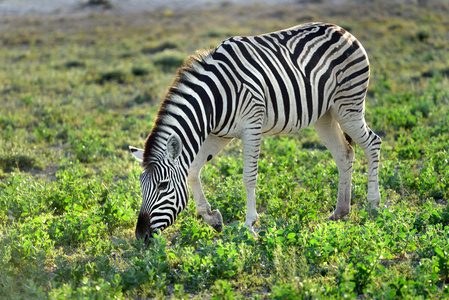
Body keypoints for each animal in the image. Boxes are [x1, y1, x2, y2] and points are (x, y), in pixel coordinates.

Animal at [130, 22, 382, 244]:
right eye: (141, 185)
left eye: (163, 186)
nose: (141, 236)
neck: (215, 99)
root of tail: (342, 30)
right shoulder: (218, 135)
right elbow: (192, 170)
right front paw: (212, 218)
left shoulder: (252, 126)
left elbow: (248, 177)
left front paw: (249, 225)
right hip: (325, 115)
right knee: (344, 154)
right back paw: (340, 211)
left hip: (348, 106)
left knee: (373, 143)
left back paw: (373, 205)